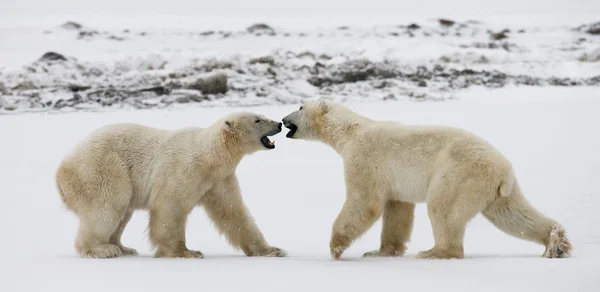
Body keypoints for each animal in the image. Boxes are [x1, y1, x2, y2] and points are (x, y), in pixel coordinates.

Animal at [57, 112, 288, 258]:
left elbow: (234, 213)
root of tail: (61, 171)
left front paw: (272, 250)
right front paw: (186, 252)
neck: (210, 156)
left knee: (122, 212)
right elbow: (170, 207)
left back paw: (122, 247)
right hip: (101, 168)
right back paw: (102, 249)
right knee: (108, 205)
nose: (279, 123)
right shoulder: (184, 168)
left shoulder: (219, 180)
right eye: (258, 120)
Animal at [282, 101, 572, 260]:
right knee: (513, 214)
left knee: (443, 208)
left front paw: (336, 247)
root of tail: (503, 169)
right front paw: (382, 251)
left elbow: (364, 200)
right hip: (498, 190)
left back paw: (436, 252)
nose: (284, 119)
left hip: (459, 172)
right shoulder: (393, 180)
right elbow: (397, 209)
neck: (351, 132)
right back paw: (556, 243)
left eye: (300, 106)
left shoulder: (365, 158)